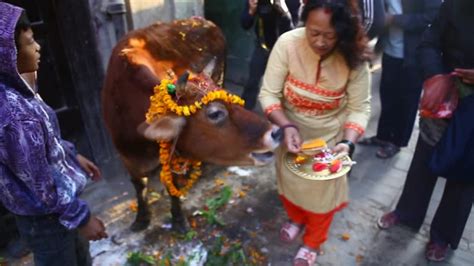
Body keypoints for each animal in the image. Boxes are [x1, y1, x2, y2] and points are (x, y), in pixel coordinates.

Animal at [102, 17, 280, 232]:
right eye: (215, 113)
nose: (275, 132)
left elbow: (173, 187)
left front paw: (179, 220)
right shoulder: (127, 157)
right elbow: (139, 185)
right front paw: (141, 218)